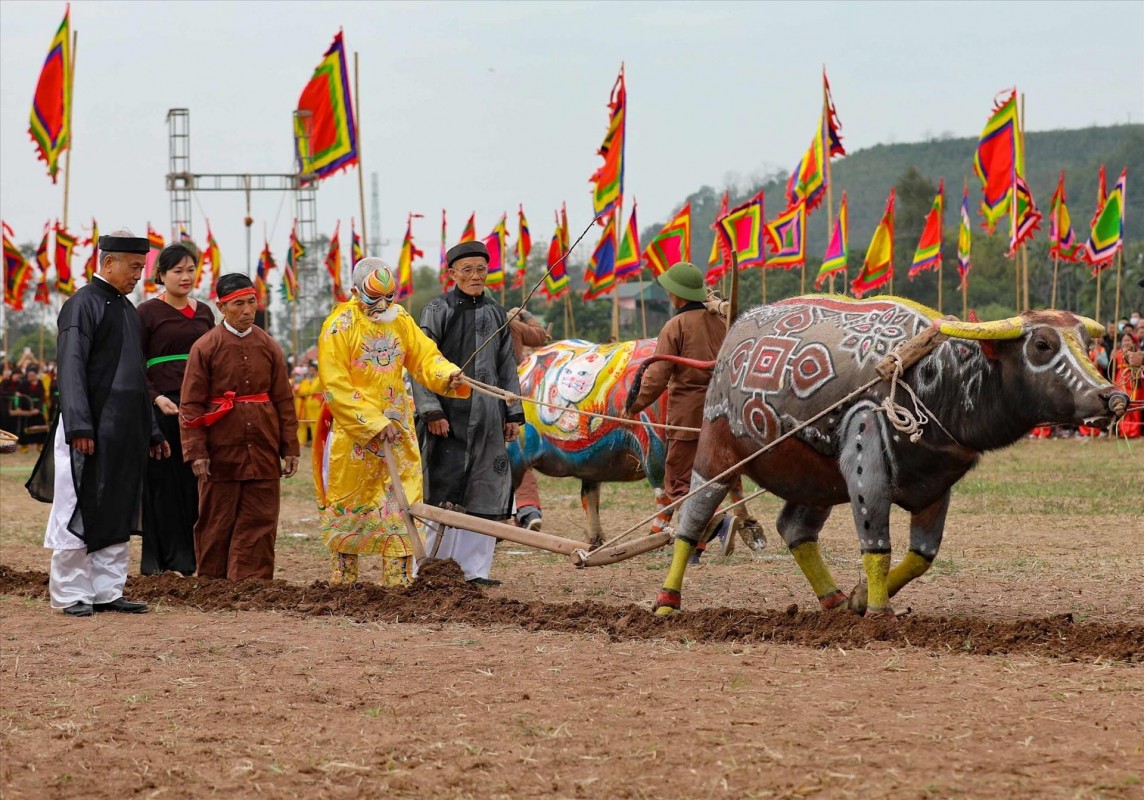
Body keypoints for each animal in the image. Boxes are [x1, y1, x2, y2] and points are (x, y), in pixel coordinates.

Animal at [654, 297, 1125, 618]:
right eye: (1042, 344)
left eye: (1086, 342)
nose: (1111, 396)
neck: (933, 378)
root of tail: (732, 336)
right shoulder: (867, 464)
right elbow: (876, 543)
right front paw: (880, 613)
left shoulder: (937, 484)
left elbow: (921, 557)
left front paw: (860, 598)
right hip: (715, 452)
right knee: (691, 522)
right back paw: (666, 601)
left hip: (817, 479)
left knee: (795, 530)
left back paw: (833, 601)